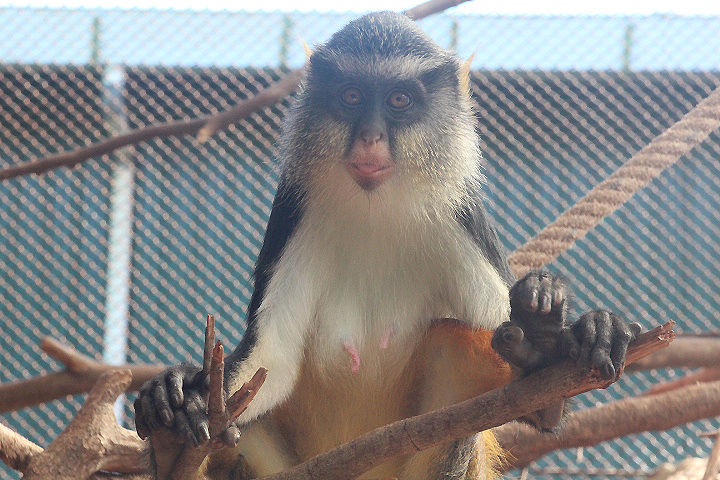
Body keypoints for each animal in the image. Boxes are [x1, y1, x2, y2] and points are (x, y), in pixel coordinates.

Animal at [134, 11, 640, 480]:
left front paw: (563, 339)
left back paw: (539, 349)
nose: (371, 136)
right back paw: (170, 443)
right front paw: (182, 396)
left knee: (453, 344)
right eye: (351, 96)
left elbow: (511, 360)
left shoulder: (461, 215)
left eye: (400, 100)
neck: (375, 204)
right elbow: (271, 361)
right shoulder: (292, 210)